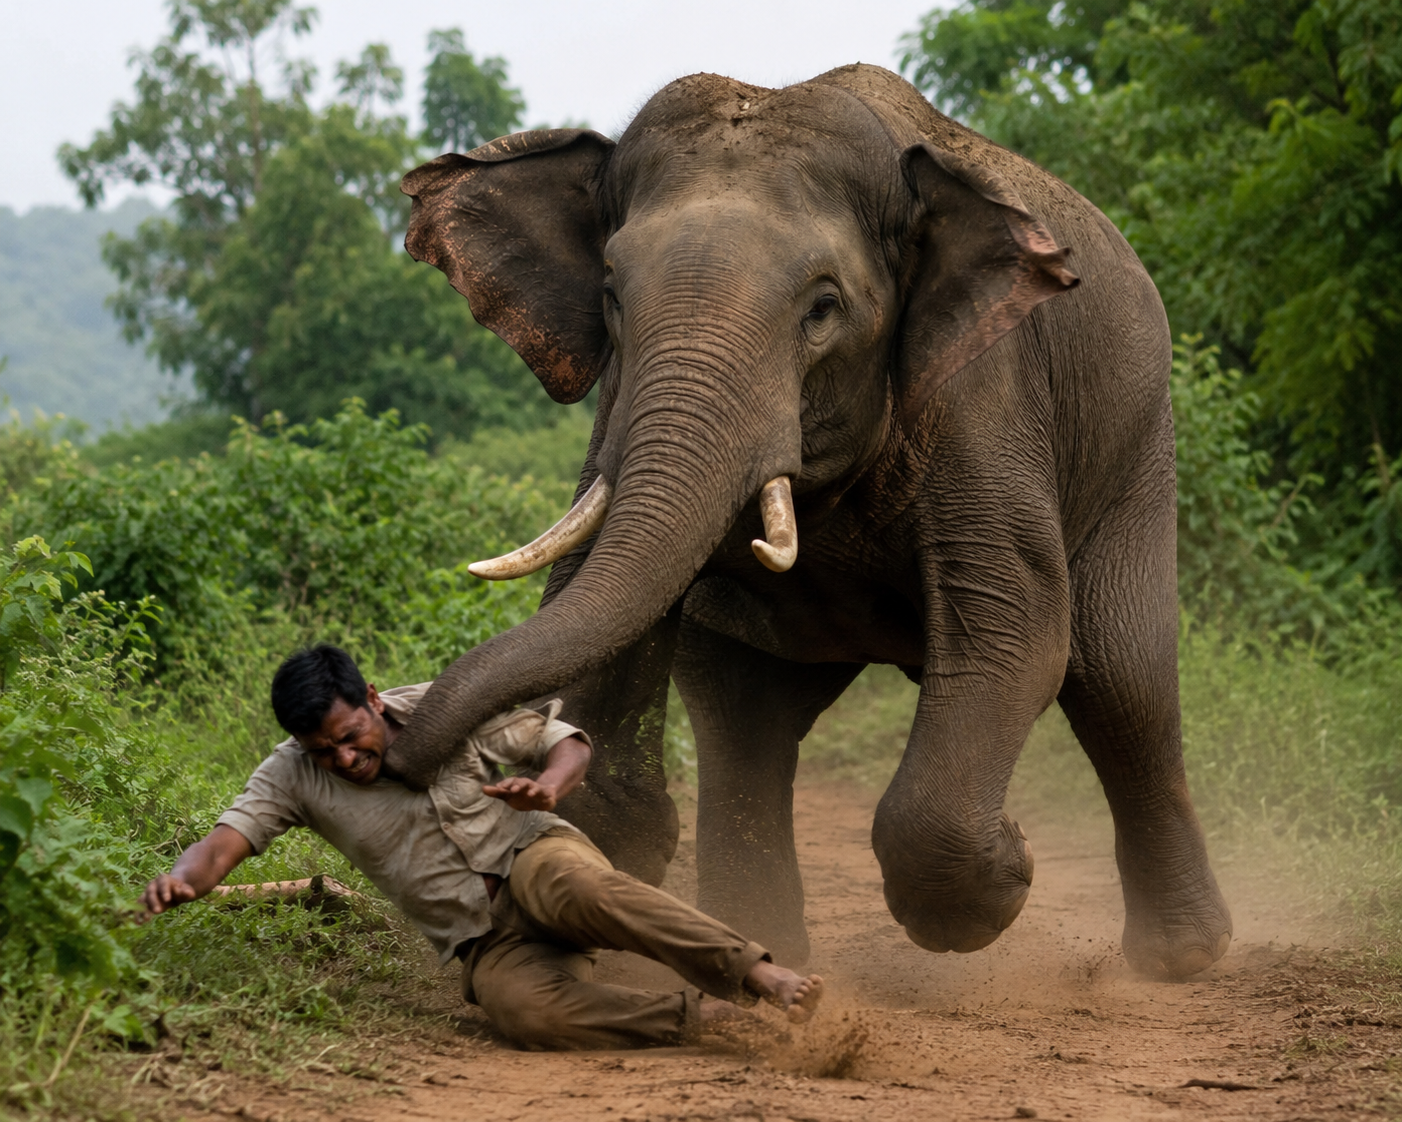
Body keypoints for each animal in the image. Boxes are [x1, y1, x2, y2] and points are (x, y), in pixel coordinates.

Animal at [389, 62, 1233, 981]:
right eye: (610, 294)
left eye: (823, 307)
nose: (389, 745)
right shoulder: (616, 404)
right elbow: (601, 603)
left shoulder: (985, 393)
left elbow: (1013, 629)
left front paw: (1003, 881)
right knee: (745, 709)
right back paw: (764, 941)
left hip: (1139, 449)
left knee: (1123, 681)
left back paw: (1181, 960)